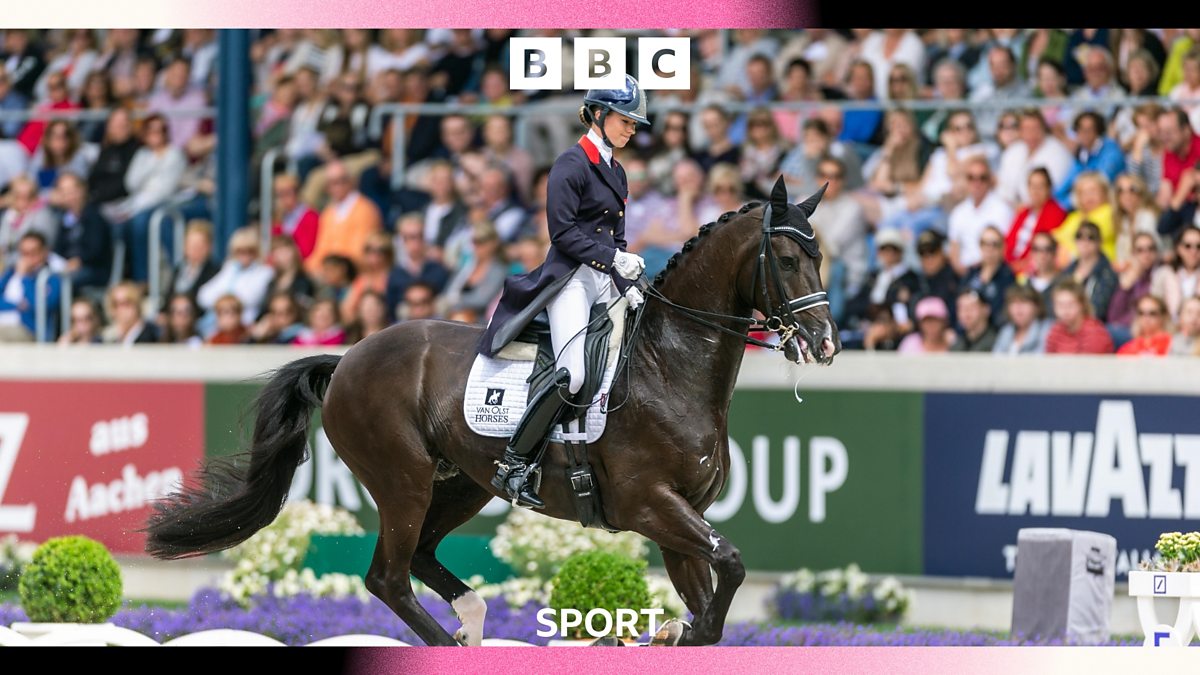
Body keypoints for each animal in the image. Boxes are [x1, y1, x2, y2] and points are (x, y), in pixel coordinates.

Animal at [143, 177, 841, 646]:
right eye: (786, 260)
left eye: (821, 257)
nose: (825, 343)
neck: (669, 365)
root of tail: (347, 359)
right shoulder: (650, 505)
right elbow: (731, 566)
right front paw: (679, 633)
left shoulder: (680, 517)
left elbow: (714, 589)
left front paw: (676, 633)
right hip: (402, 480)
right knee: (388, 578)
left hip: (463, 483)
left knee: (419, 559)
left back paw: (471, 624)